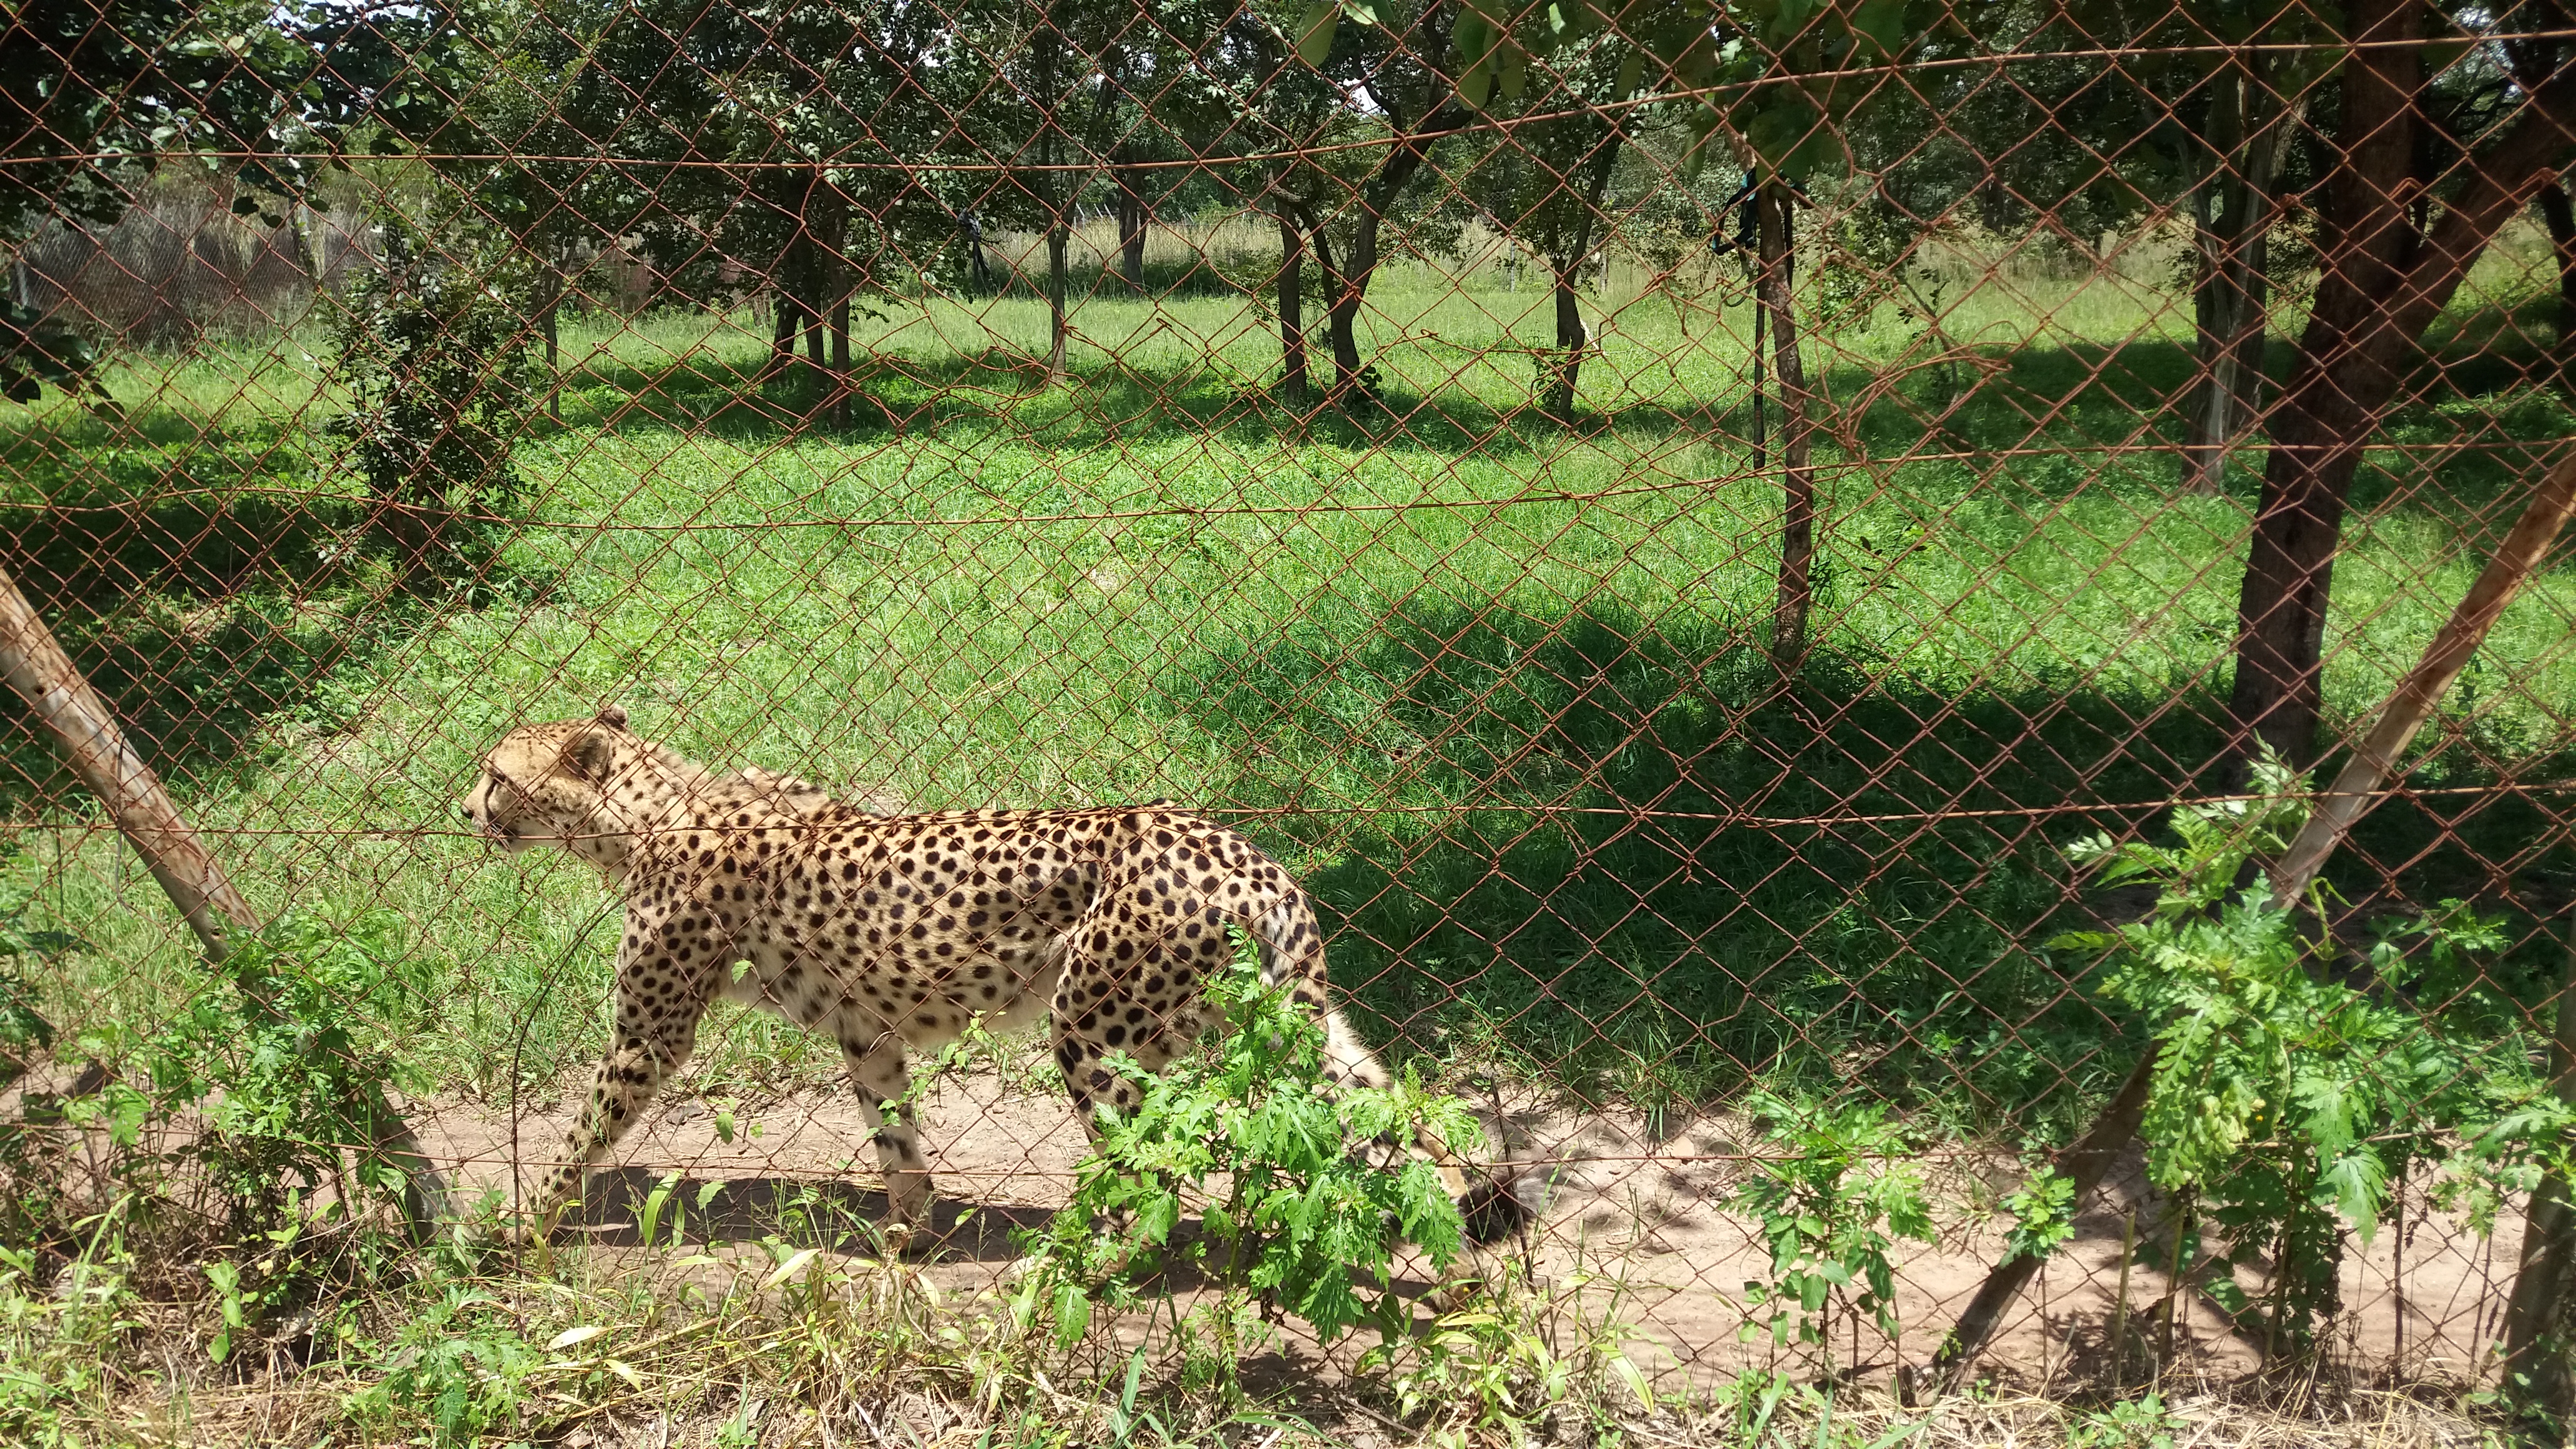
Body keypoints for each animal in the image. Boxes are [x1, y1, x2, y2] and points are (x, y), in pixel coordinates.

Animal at [460, 705, 1522, 1258]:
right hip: (1277, 1020)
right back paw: (1463, 1218)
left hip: (1094, 1028)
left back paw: (1094, 1258)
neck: (646, 809)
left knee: (1150, 1166)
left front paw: (514, 1226)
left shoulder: (649, 1036)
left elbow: (578, 1137)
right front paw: (908, 1238)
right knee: (1402, 1099)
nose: (464, 807)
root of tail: (1240, 851)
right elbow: (894, 1136)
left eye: (496, 774)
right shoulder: (866, 1029)